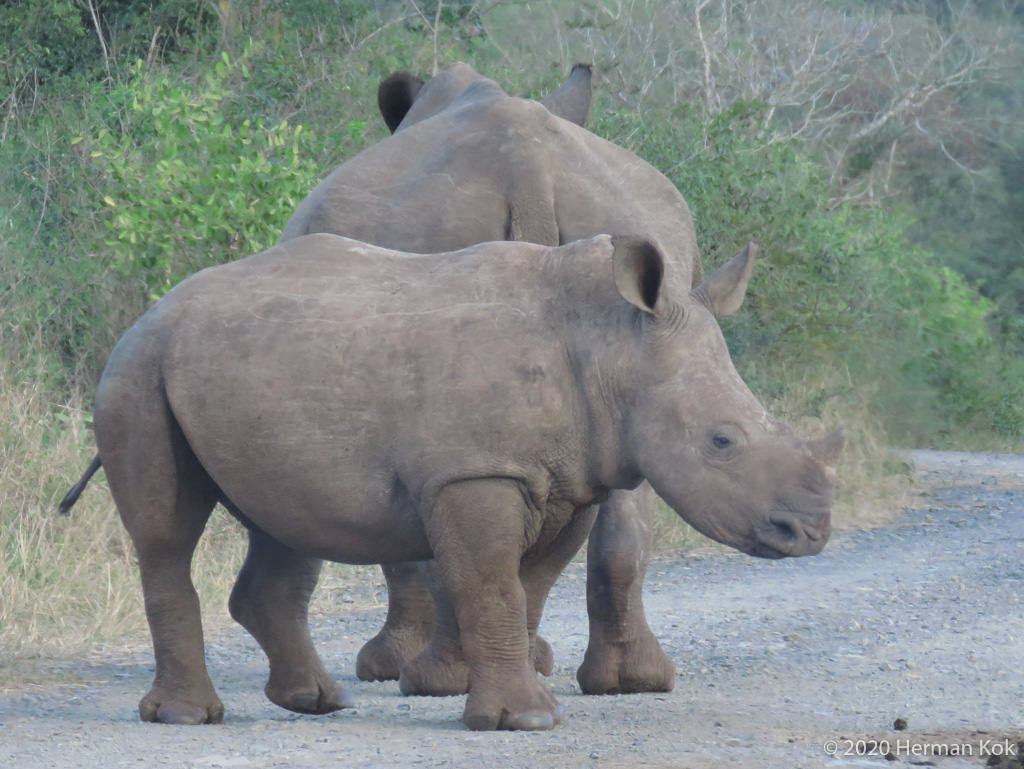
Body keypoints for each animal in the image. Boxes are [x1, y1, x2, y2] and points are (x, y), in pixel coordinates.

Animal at [67, 232, 841, 730]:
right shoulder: (474, 472)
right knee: (167, 533)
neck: (611, 344)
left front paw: (518, 705)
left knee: (285, 521)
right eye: (721, 441)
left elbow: (528, 589)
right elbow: (491, 585)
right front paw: (522, 721)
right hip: (138, 369)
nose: (809, 532)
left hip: (245, 368)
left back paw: (317, 702)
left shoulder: (571, 478)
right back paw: (188, 717)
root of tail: (154, 309)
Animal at [280, 61, 710, 700]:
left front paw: (386, 666)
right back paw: (629, 680)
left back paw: (432, 678)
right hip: (637, 243)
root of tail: (529, 169)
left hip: (429, 233)